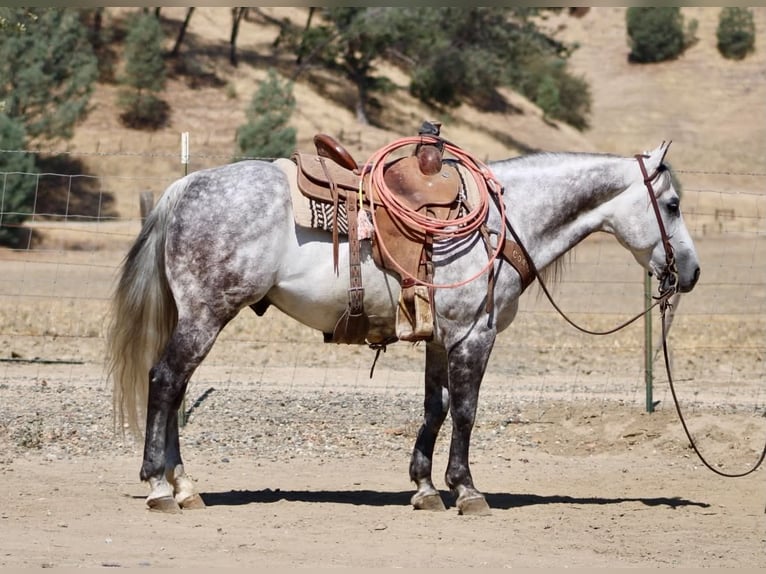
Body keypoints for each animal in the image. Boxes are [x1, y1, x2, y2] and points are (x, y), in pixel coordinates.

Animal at [107, 139, 700, 515]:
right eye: (672, 205)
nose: (691, 272)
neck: (501, 223)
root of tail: (186, 185)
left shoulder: (442, 338)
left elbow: (435, 409)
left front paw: (425, 487)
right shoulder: (474, 336)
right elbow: (466, 412)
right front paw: (466, 490)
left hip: (201, 316)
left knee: (175, 387)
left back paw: (185, 485)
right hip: (206, 315)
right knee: (165, 380)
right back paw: (159, 485)